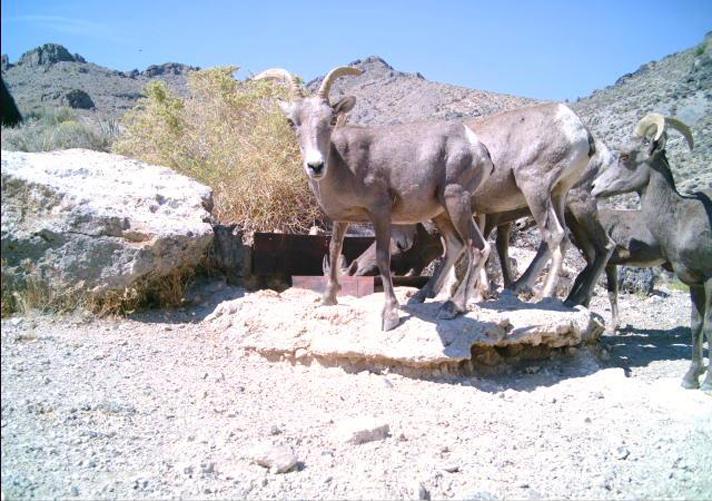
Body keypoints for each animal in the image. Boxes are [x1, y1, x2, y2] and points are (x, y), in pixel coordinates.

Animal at [256, 67, 496, 332]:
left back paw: (453, 307)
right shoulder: (342, 219)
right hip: (441, 212)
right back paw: (421, 296)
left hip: (456, 201)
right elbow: (334, 248)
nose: (316, 166)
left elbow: (382, 256)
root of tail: (478, 148)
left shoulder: (380, 212)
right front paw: (328, 299)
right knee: (455, 245)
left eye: (332, 119)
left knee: (479, 248)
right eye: (291, 122)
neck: (344, 166)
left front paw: (390, 316)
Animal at [588, 113, 712, 390]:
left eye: (625, 156)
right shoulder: (695, 282)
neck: (681, 219)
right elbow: (698, 324)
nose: (593, 186)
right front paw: (692, 377)